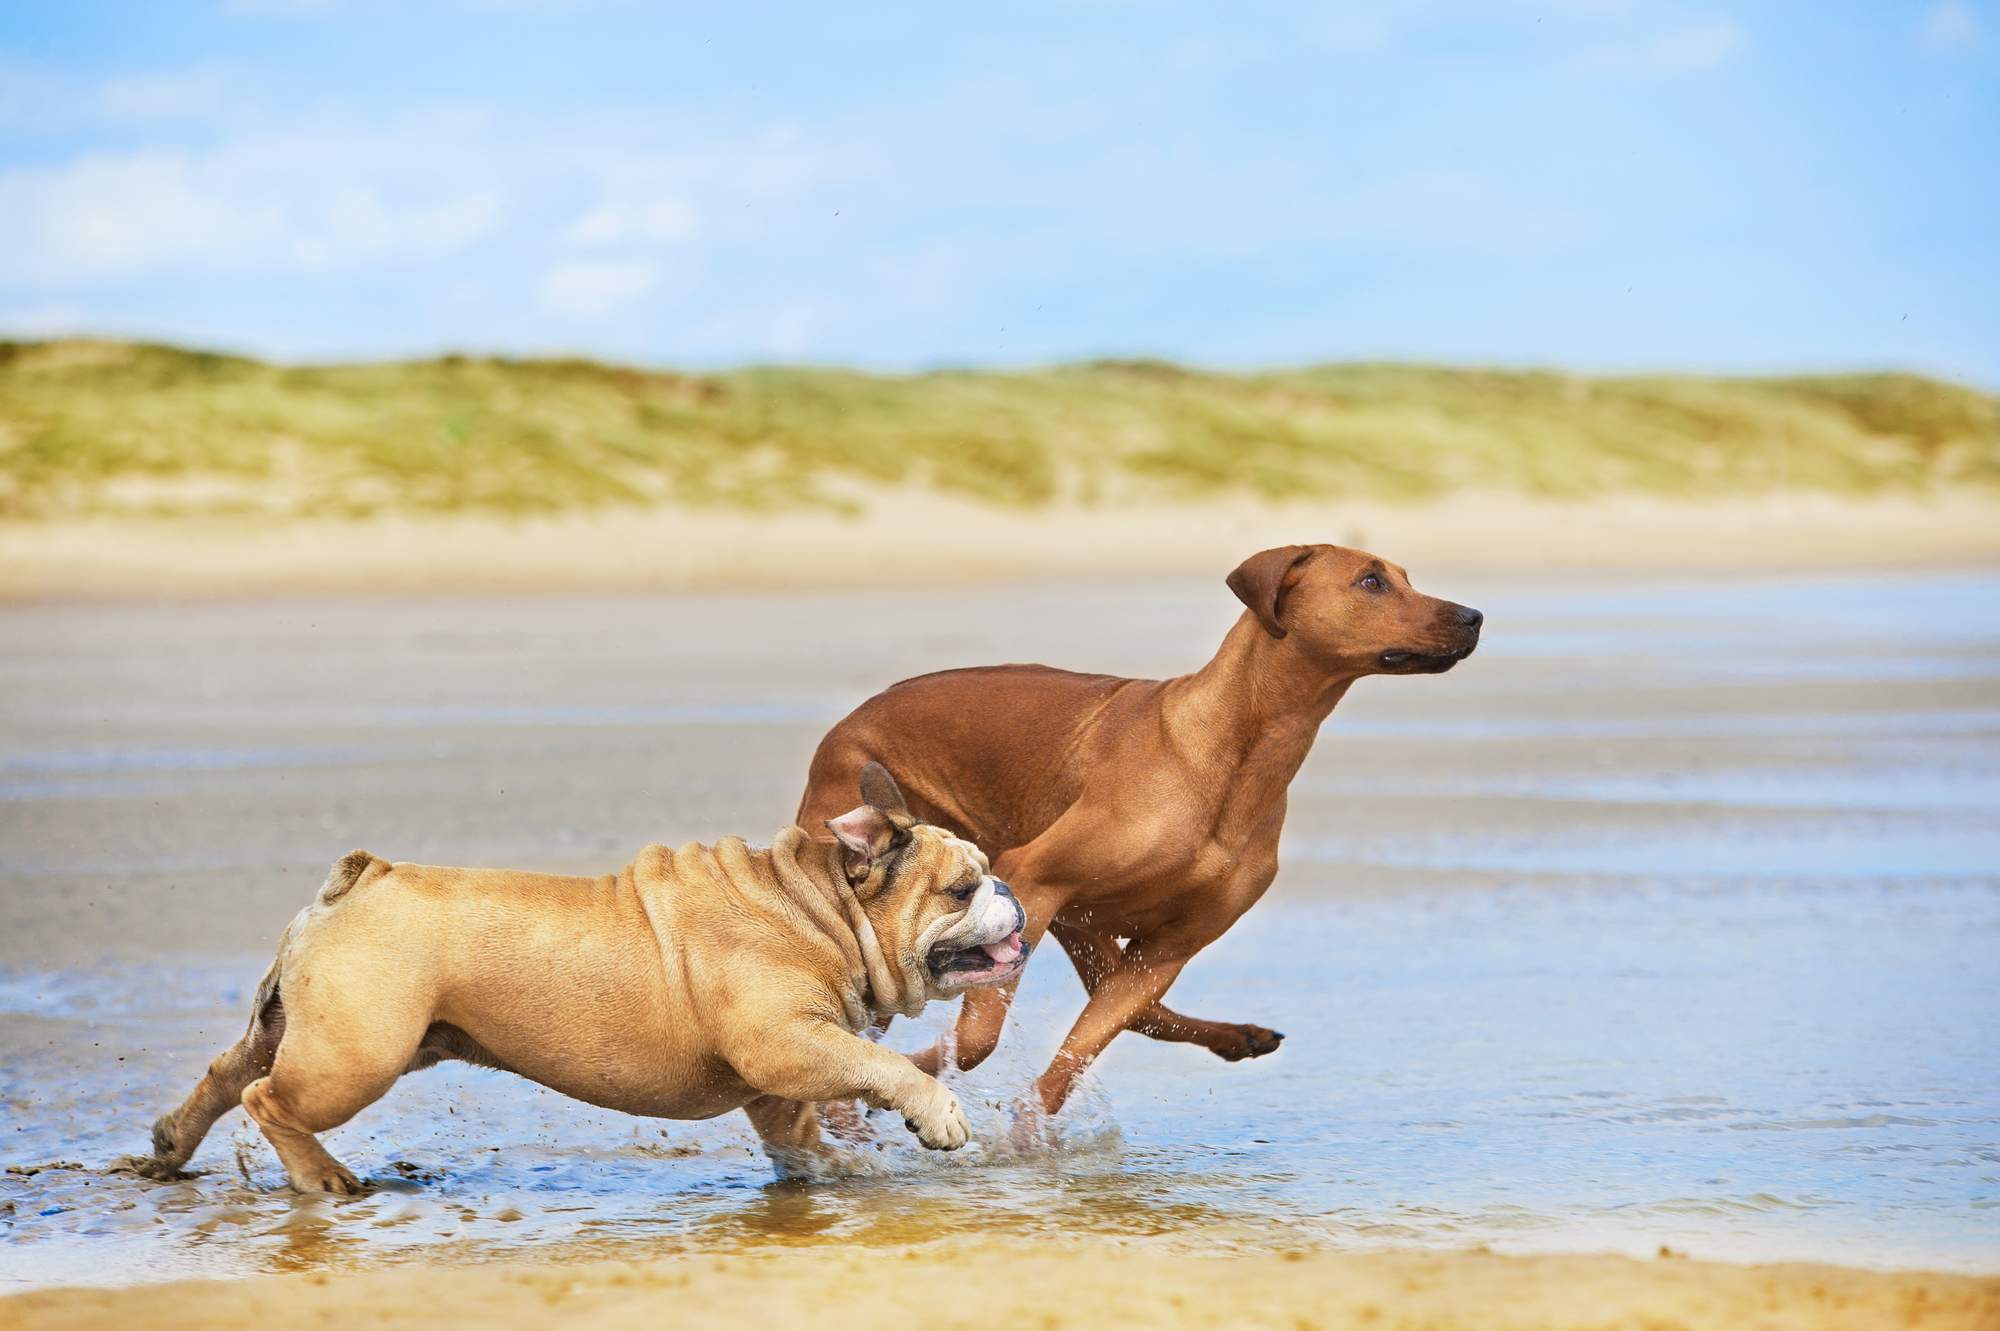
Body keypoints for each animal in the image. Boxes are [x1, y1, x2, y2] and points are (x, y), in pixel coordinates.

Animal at [123, 767, 1024, 1191]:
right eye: (961, 888)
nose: (1009, 892)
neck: (817, 902)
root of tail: (363, 876)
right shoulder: (786, 1042)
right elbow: (880, 1064)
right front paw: (937, 1115)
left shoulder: (780, 1074)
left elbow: (797, 1135)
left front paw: (840, 1173)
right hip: (357, 1056)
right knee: (267, 1098)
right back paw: (320, 1176)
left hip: (307, 1029)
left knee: (227, 1073)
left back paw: (169, 1146)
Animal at [800, 543, 1488, 1111]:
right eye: (1371, 581)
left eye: (1404, 577)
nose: (1475, 616)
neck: (1240, 750)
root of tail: (845, 724)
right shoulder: (1035, 880)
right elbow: (972, 1043)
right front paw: (897, 1076)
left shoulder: (1167, 947)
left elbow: (1080, 1051)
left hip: (1080, 927)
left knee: (1137, 1011)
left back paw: (1238, 1037)